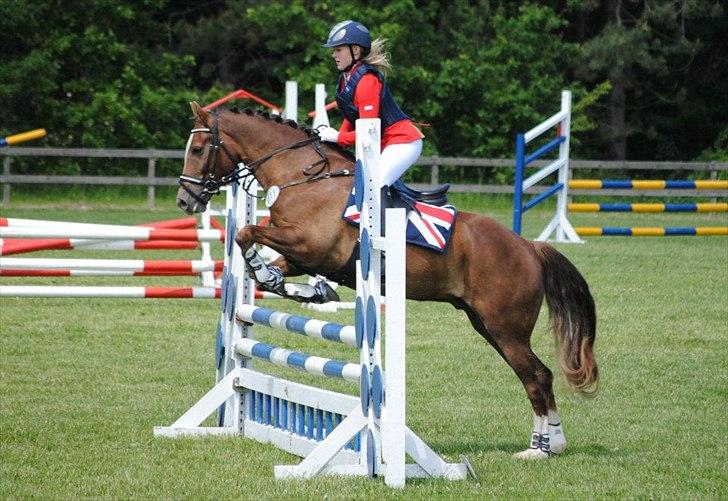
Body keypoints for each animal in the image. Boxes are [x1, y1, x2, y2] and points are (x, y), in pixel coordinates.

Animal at [176, 101, 596, 458]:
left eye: (197, 149)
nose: (185, 201)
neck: (302, 177)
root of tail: (529, 247)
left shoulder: (311, 244)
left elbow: (247, 232)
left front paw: (268, 273)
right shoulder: (303, 251)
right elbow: (268, 255)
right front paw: (296, 285)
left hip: (506, 328)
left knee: (537, 375)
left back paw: (543, 448)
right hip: (487, 325)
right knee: (536, 376)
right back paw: (547, 443)